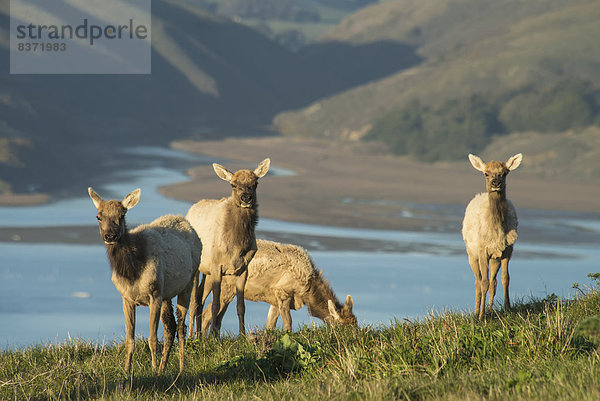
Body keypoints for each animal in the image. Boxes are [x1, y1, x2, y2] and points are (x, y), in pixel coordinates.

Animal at [87, 188, 199, 376]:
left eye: (122, 215)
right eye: (98, 216)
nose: (110, 236)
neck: (132, 272)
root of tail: (185, 221)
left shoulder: (154, 294)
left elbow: (152, 339)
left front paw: (152, 371)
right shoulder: (126, 298)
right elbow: (129, 340)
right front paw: (127, 371)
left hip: (188, 282)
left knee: (181, 326)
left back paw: (181, 368)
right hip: (166, 294)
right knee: (170, 327)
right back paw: (163, 368)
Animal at [186, 158, 270, 336]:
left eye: (255, 183)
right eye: (233, 184)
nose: (246, 198)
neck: (237, 246)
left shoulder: (243, 269)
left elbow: (241, 306)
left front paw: (242, 335)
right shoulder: (217, 267)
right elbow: (216, 305)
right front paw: (213, 336)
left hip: (207, 272)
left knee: (200, 298)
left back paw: (199, 335)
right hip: (196, 268)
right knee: (193, 301)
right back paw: (190, 336)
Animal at [199, 238, 356, 332]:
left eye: (355, 323)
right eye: (344, 327)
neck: (308, 292)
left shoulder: (274, 299)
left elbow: (270, 325)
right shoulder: (283, 292)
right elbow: (288, 324)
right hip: (227, 288)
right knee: (207, 314)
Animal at [462, 152, 524, 318]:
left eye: (505, 173)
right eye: (486, 173)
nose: (496, 183)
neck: (497, 230)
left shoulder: (507, 249)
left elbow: (505, 278)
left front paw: (508, 308)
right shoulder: (483, 249)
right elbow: (483, 282)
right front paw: (481, 316)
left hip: (495, 257)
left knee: (493, 281)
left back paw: (490, 309)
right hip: (471, 253)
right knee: (478, 281)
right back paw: (476, 311)